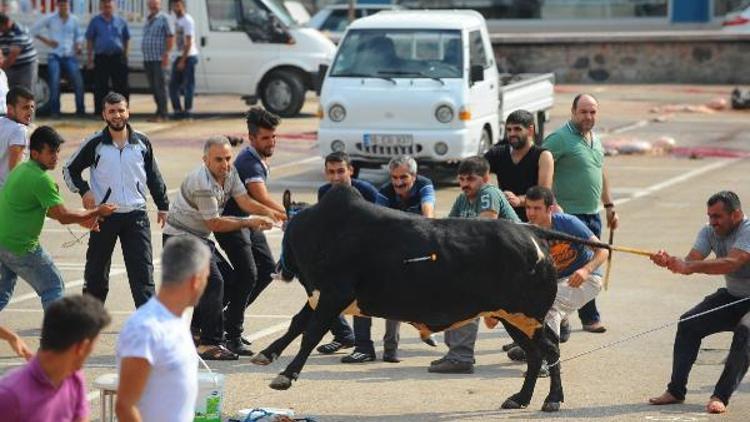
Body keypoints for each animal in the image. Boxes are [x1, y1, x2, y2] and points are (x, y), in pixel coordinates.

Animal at [251, 186, 612, 410]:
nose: (280, 270)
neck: (321, 229)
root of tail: (532, 232)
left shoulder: (334, 293)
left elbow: (311, 331)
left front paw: (285, 375)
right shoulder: (321, 295)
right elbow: (298, 323)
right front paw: (267, 354)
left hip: (526, 315)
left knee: (549, 349)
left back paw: (552, 400)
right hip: (514, 317)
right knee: (536, 353)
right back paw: (520, 398)